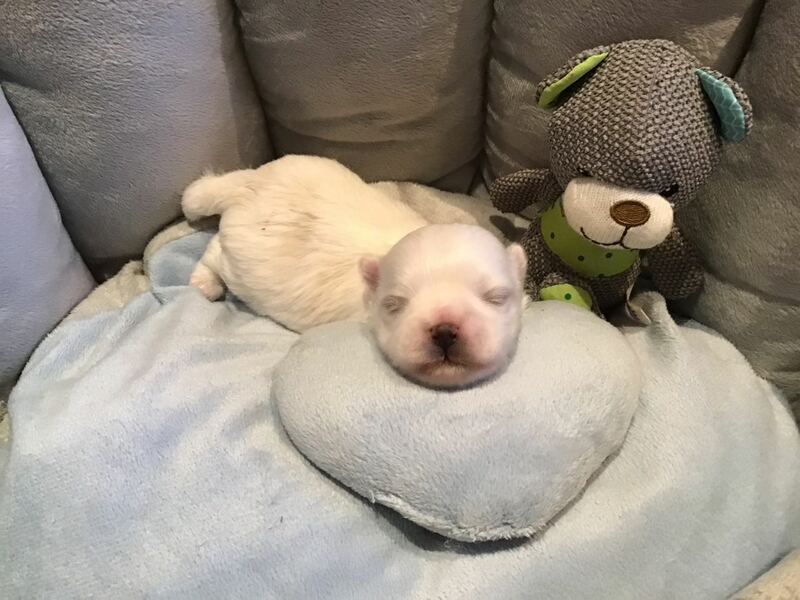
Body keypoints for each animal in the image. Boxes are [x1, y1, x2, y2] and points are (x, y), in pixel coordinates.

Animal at [182, 155, 527, 388]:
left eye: (496, 297)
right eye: (395, 305)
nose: (444, 330)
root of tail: (248, 182)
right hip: (243, 265)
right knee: (214, 252)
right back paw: (205, 283)